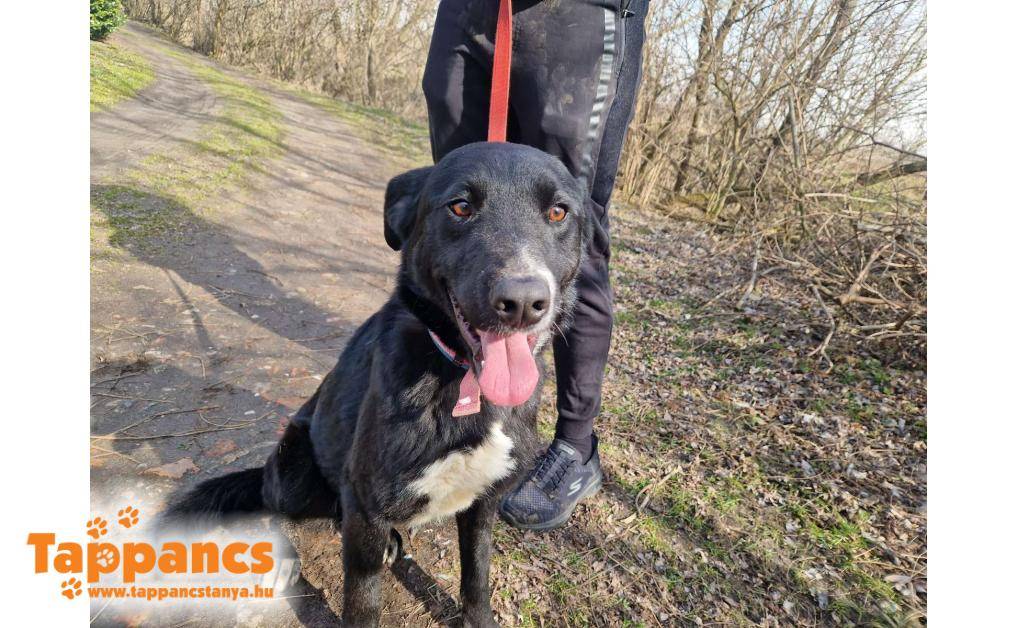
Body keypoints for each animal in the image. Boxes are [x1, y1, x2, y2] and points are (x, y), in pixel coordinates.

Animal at [165, 142, 591, 626]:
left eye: (558, 212)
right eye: (460, 207)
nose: (522, 302)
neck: (464, 382)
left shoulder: (483, 503)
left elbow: (477, 576)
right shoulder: (367, 505)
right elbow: (363, 600)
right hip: (295, 469)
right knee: (272, 504)